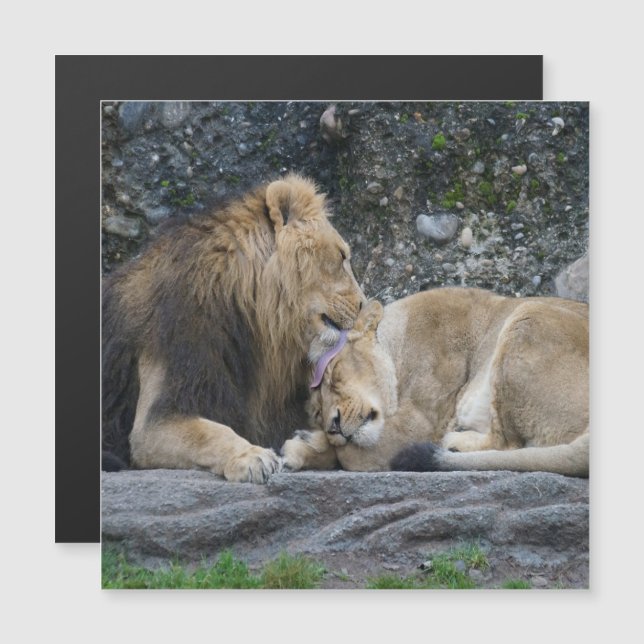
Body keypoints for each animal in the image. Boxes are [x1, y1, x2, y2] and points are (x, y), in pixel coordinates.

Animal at [102, 174, 365, 483]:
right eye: (341, 256)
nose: (363, 304)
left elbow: (334, 446)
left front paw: (305, 445)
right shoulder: (157, 417)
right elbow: (210, 433)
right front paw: (252, 457)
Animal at [281, 287, 589, 477]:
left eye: (334, 375)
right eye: (317, 412)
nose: (332, 426)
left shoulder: (420, 424)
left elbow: (349, 455)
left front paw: (307, 444)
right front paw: (304, 447)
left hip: (528, 315)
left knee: (508, 444)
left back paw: (453, 443)